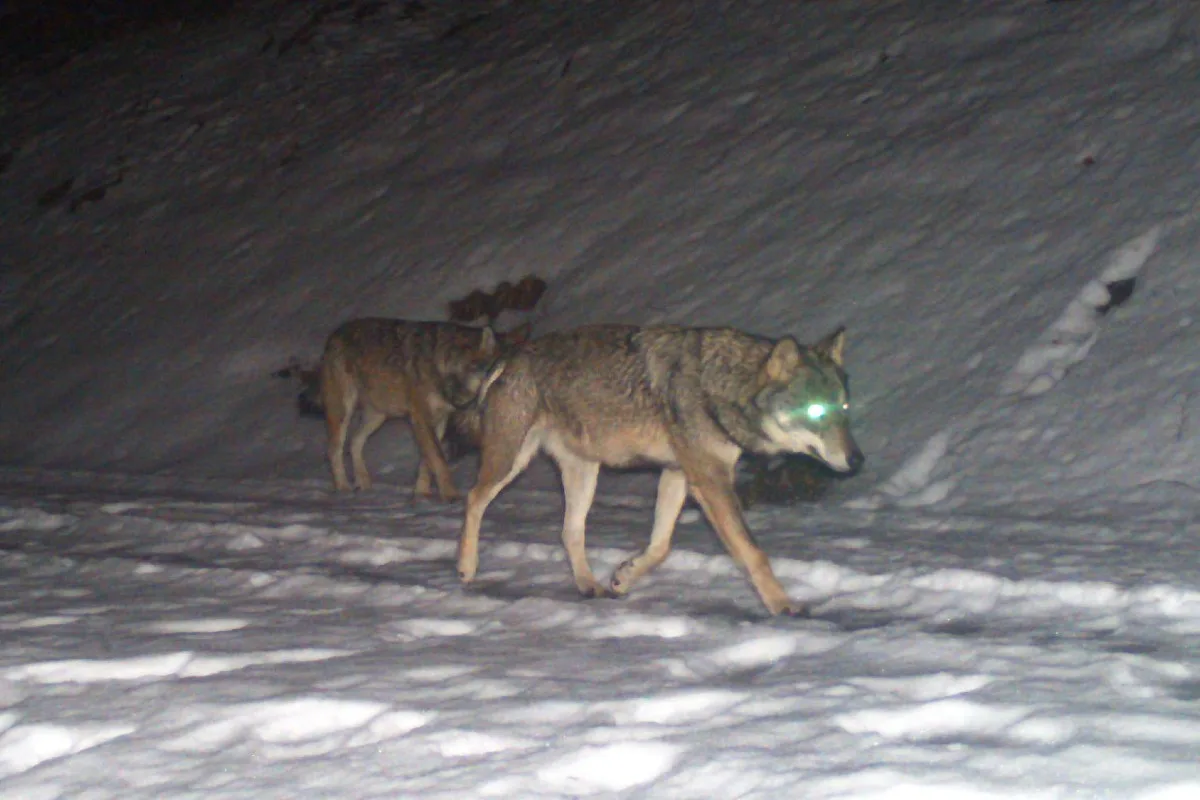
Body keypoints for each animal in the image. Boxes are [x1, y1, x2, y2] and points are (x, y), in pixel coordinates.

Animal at [312, 319, 514, 500]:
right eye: (497, 375)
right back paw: (343, 489)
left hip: (378, 416)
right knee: (334, 450)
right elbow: (439, 460)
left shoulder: (438, 421)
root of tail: (334, 335)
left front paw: (422, 496)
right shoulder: (421, 418)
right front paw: (451, 497)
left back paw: (364, 484)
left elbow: (427, 462)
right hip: (343, 412)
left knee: (355, 442)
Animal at [456, 324, 865, 616]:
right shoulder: (711, 481)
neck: (722, 384)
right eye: (815, 411)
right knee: (473, 497)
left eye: (844, 408)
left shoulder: (678, 474)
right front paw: (783, 605)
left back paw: (589, 584)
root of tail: (510, 355)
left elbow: (661, 546)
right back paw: (466, 567)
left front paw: (624, 578)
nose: (858, 460)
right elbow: (753, 553)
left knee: (570, 531)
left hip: (584, 474)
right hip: (511, 462)